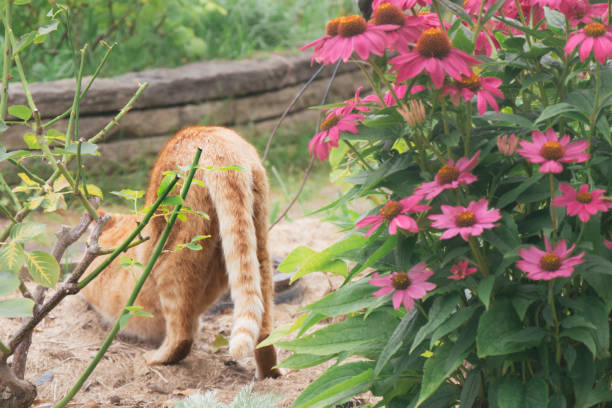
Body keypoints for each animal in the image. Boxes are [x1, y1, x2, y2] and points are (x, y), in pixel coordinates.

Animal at [79, 125, 282, 380]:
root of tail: (211, 136)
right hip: (259, 245)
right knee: (264, 333)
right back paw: (270, 376)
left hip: (174, 258)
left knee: (182, 337)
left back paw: (155, 358)